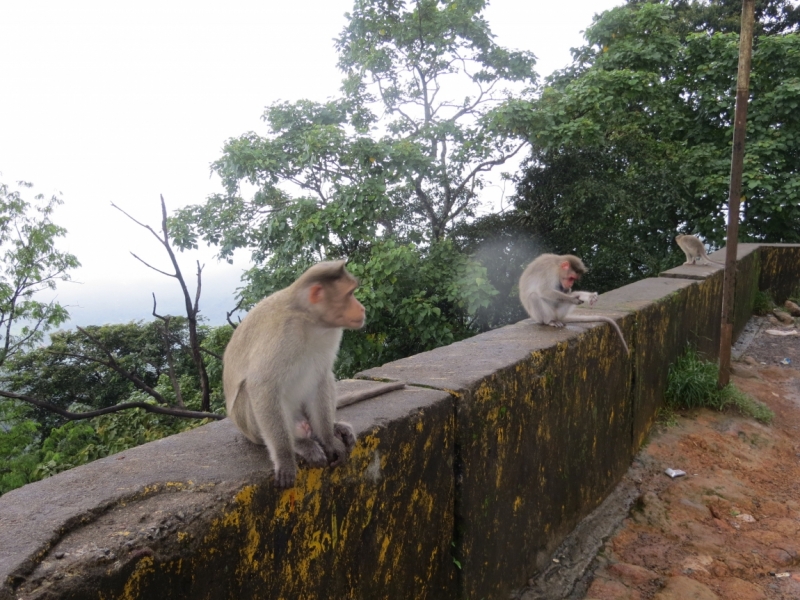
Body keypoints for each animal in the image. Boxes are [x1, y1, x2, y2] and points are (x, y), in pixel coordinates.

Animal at [222, 258, 366, 488]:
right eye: (350, 293)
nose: (362, 308)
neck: (310, 320)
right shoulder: (282, 334)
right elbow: (262, 386)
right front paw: (284, 456)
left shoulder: (332, 332)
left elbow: (320, 378)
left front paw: (328, 439)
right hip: (254, 427)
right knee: (251, 392)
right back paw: (298, 442)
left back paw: (332, 428)